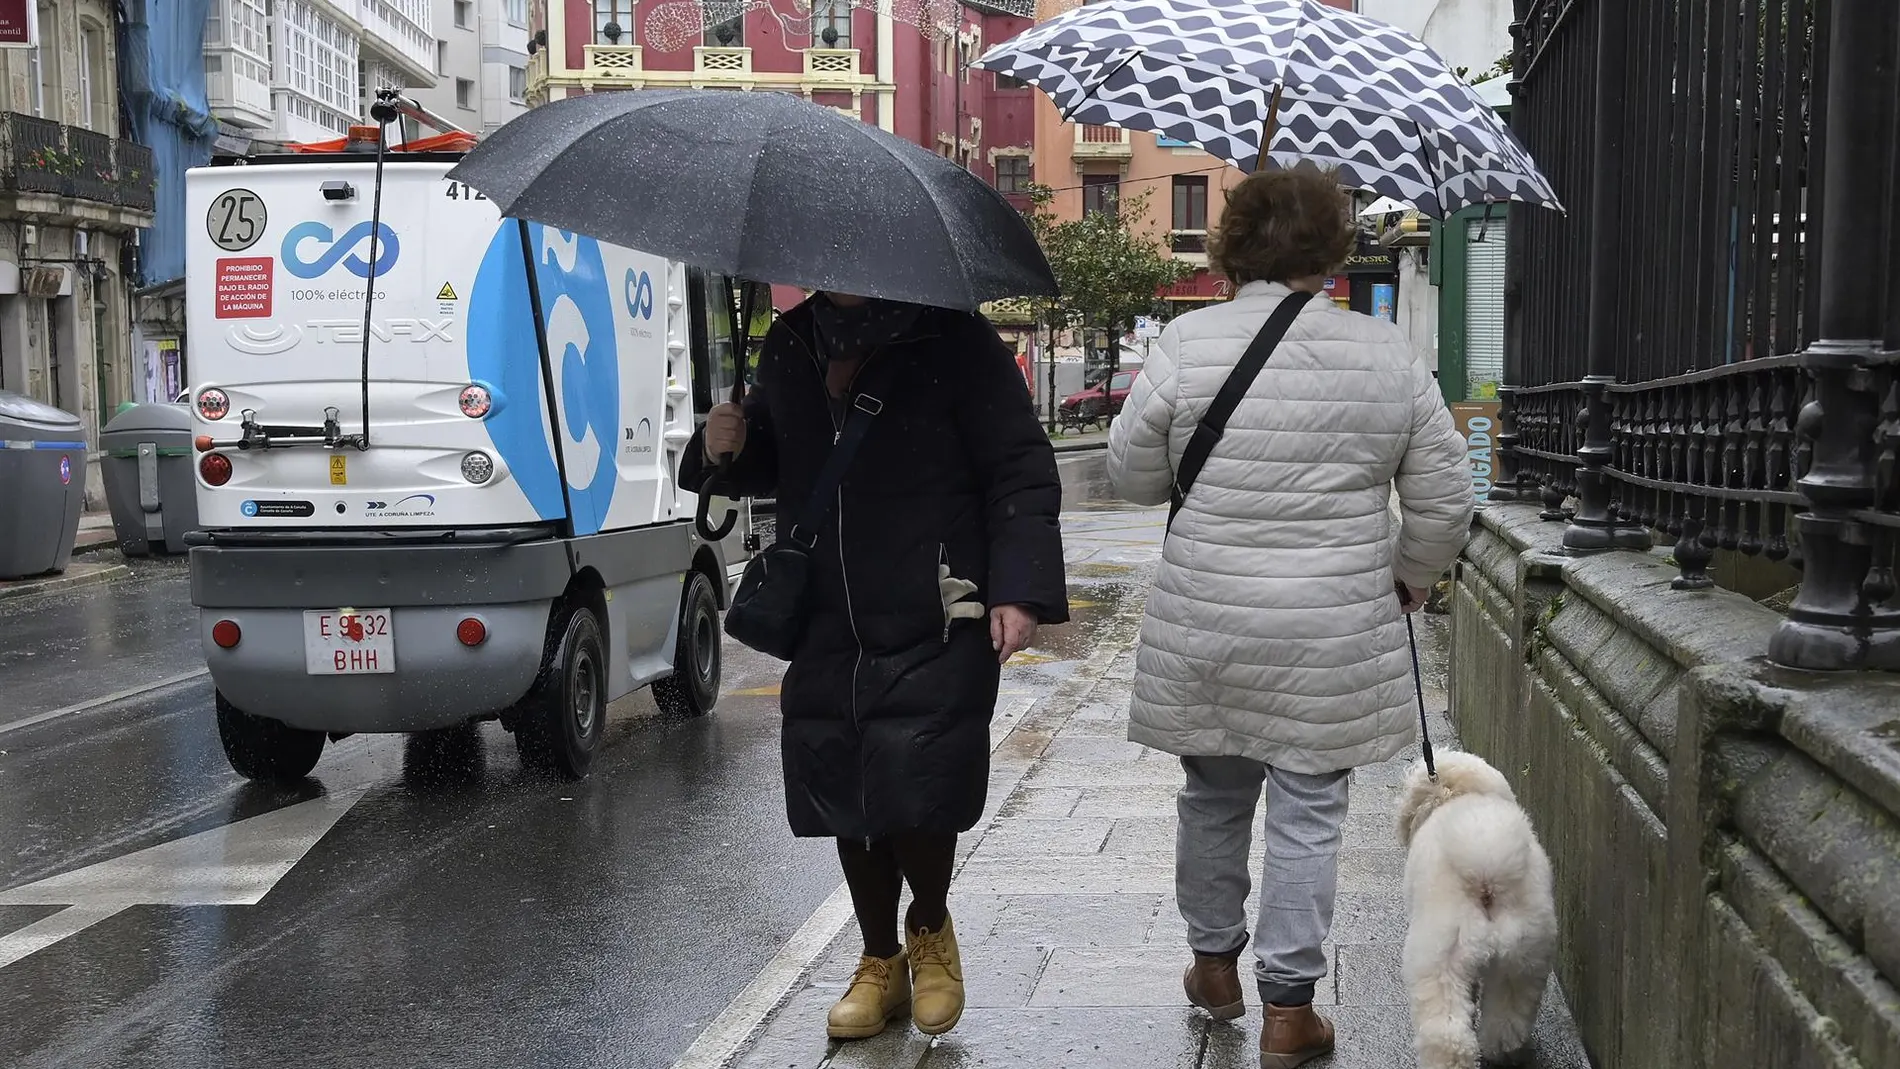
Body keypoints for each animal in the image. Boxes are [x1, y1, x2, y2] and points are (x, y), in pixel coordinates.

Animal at [1398, 751, 1558, 1069]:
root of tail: (1487, 873)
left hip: (1441, 956)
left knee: (1448, 1033)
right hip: (1522, 957)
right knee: (1507, 1020)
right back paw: (1505, 1054)